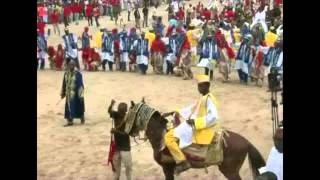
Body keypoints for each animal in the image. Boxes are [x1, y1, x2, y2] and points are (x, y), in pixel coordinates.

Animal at [126, 101, 266, 180]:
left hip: (230, 171)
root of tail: (246, 142)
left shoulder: (167, 168)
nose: (129, 132)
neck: (160, 137)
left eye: (129, 113)